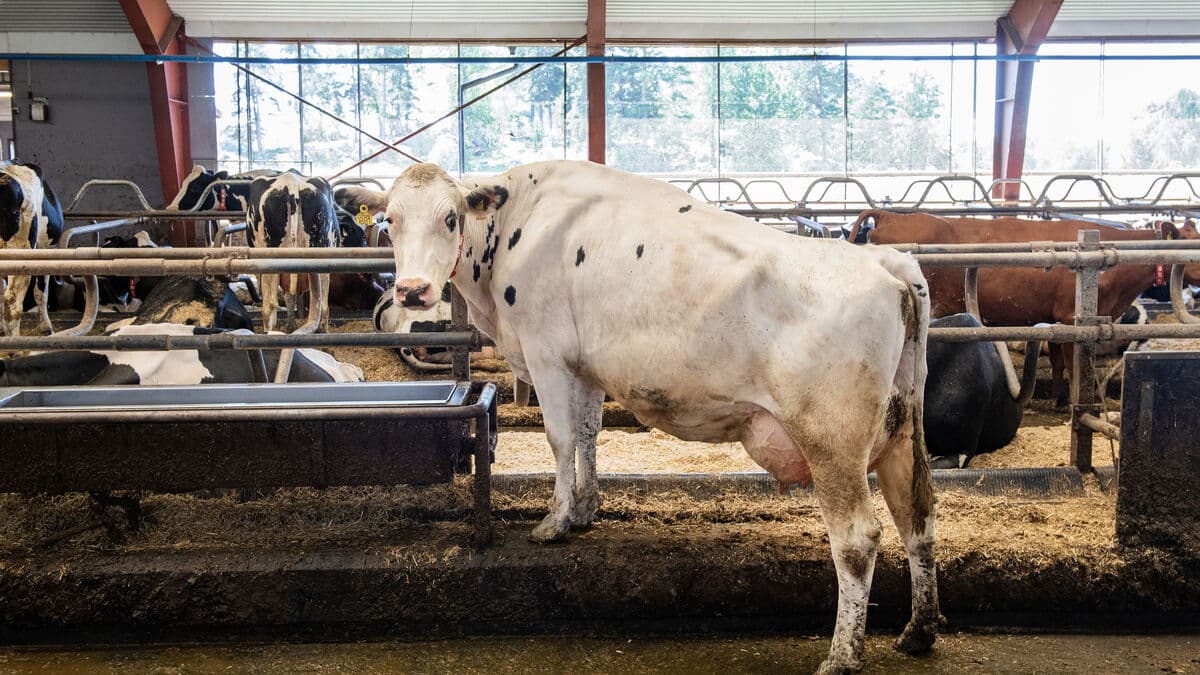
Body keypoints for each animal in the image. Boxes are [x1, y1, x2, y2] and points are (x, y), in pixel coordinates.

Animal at [244, 172, 341, 332]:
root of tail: (292, 184)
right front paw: (291, 326)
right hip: (322, 257)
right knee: (323, 307)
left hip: (268, 261)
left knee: (268, 306)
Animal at [354, 160, 939, 673]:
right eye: (391, 220)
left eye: (451, 217)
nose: (412, 291)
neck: (516, 222)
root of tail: (885, 263)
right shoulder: (584, 366)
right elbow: (588, 434)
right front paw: (586, 508)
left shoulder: (547, 353)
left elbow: (560, 438)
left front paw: (555, 522)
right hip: (903, 429)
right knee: (917, 514)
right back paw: (918, 633)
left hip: (831, 440)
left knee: (858, 539)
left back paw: (842, 656)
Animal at [848, 210, 1200, 408]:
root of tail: (893, 215)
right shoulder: (1073, 318)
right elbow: (1074, 366)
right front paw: (1074, 403)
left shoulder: (1054, 319)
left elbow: (1057, 361)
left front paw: (1058, 397)